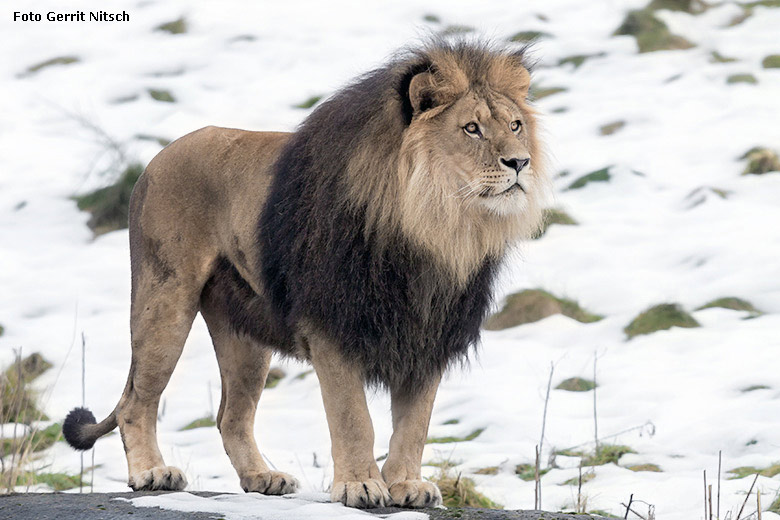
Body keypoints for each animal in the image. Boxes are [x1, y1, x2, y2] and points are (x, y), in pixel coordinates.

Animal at [62, 39, 548, 508]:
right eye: (471, 128)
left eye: (515, 126)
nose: (519, 163)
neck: (437, 229)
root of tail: (156, 159)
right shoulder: (331, 326)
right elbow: (354, 419)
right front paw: (360, 486)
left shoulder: (426, 334)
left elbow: (415, 424)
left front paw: (407, 485)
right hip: (164, 300)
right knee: (136, 400)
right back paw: (151, 473)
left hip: (245, 335)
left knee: (230, 416)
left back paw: (263, 478)